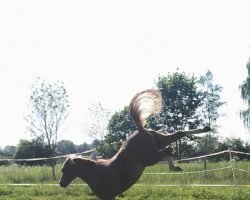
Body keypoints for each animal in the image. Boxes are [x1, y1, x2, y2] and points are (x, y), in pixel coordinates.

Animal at [59, 89, 210, 200]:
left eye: (64, 170)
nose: (61, 184)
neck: (95, 173)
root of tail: (141, 130)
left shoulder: (108, 197)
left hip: (149, 159)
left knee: (169, 150)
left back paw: (174, 167)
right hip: (159, 142)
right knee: (179, 134)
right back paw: (205, 129)